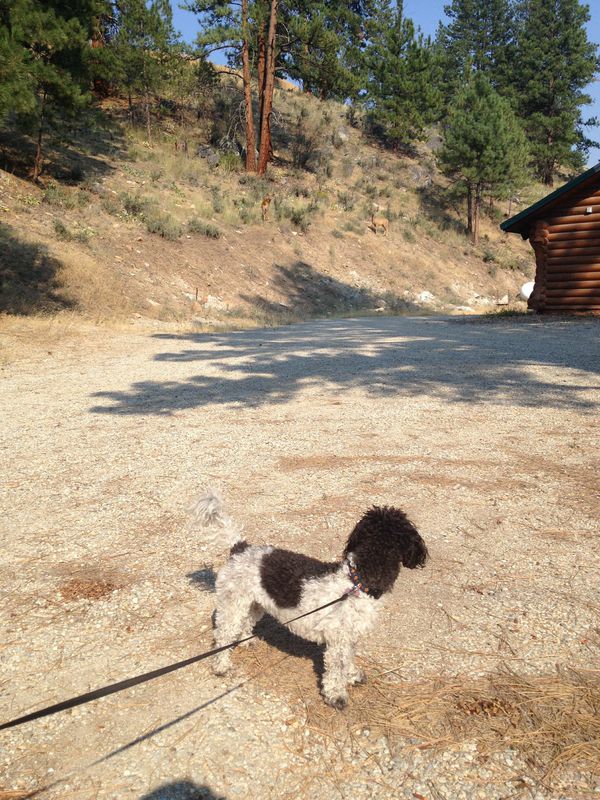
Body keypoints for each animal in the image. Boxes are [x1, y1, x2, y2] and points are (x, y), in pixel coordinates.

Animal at [191, 490, 428, 709]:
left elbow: (349, 660)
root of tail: (240, 548)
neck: (357, 580)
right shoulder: (338, 642)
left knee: (245, 623)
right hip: (233, 605)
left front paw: (352, 676)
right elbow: (336, 670)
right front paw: (336, 695)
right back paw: (221, 666)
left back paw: (245, 641)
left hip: (254, 604)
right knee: (222, 635)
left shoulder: (349, 638)